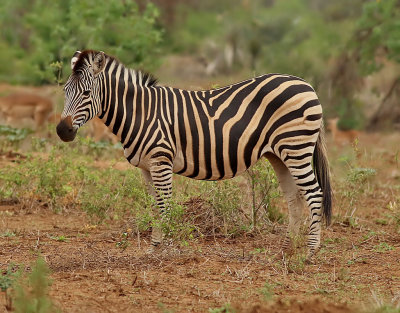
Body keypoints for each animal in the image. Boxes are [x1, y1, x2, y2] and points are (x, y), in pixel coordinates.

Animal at [56, 49, 332, 258]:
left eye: (86, 93)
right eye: (65, 91)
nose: (62, 130)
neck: (140, 113)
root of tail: (306, 84)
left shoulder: (161, 161)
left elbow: (165, 206)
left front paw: (167, 248)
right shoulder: (146, 167)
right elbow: (155, 207)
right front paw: (154, 248)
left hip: (296, 148)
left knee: (314, 193)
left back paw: (311, 252)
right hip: (280, 154)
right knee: (294, 198)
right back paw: (286, 249)